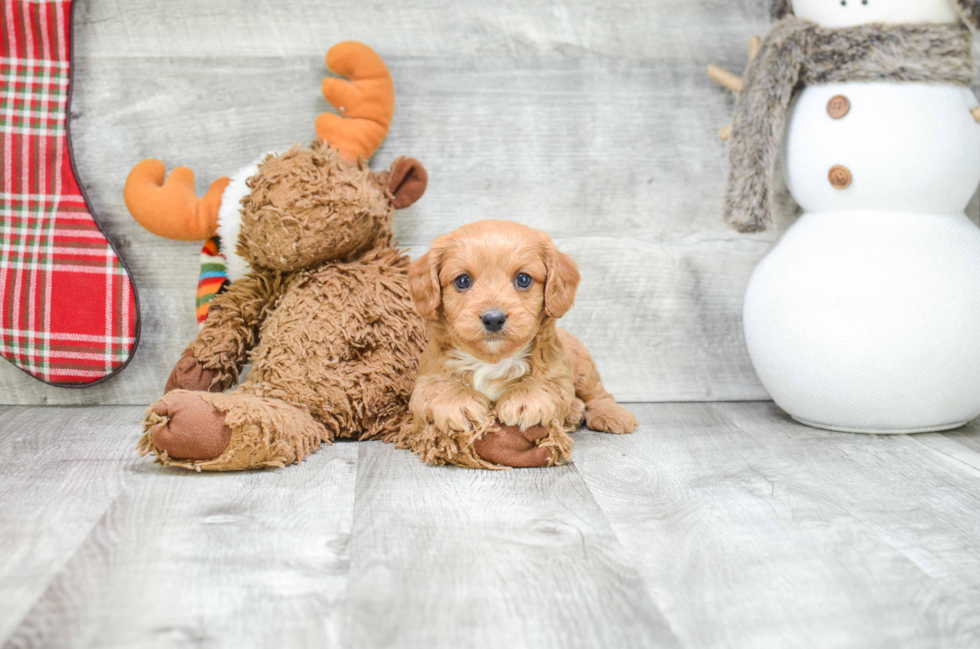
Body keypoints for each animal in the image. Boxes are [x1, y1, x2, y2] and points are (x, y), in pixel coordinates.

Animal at [404, 220, 640, 468]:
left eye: (523, 279)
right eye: (462, 280)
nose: (493, 319)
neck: (493, 360)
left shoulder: (558, 373)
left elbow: (546, 384)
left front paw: (524, 398)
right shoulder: (424, 381)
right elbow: (436, 388)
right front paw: (457, 400)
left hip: (583, 367)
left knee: (597, 394)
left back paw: (610, 415)